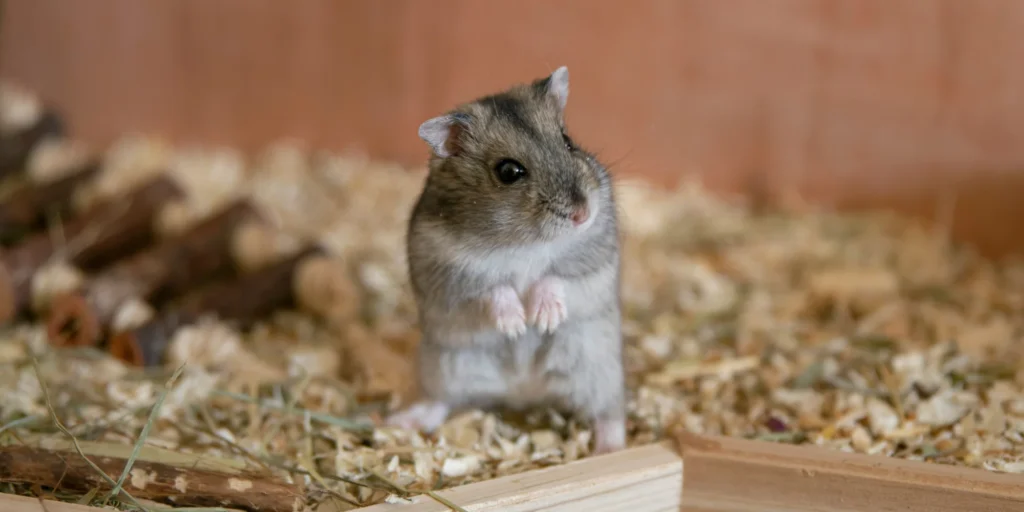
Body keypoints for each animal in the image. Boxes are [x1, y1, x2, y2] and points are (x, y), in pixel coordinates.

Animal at [386, 66, 626, 454]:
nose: (582, 214)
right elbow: (493, 289)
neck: (524, 241)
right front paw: (516, 325)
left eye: (567, 141)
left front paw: (542, 319)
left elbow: (556, 277)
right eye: (509, 172)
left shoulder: (594, 259)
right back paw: (399, 421)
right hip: (445, 367)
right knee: (440, 401)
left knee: (610, 413)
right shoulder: (450, 274)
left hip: (599, 369)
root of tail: (523, 392)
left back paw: (610, 449)